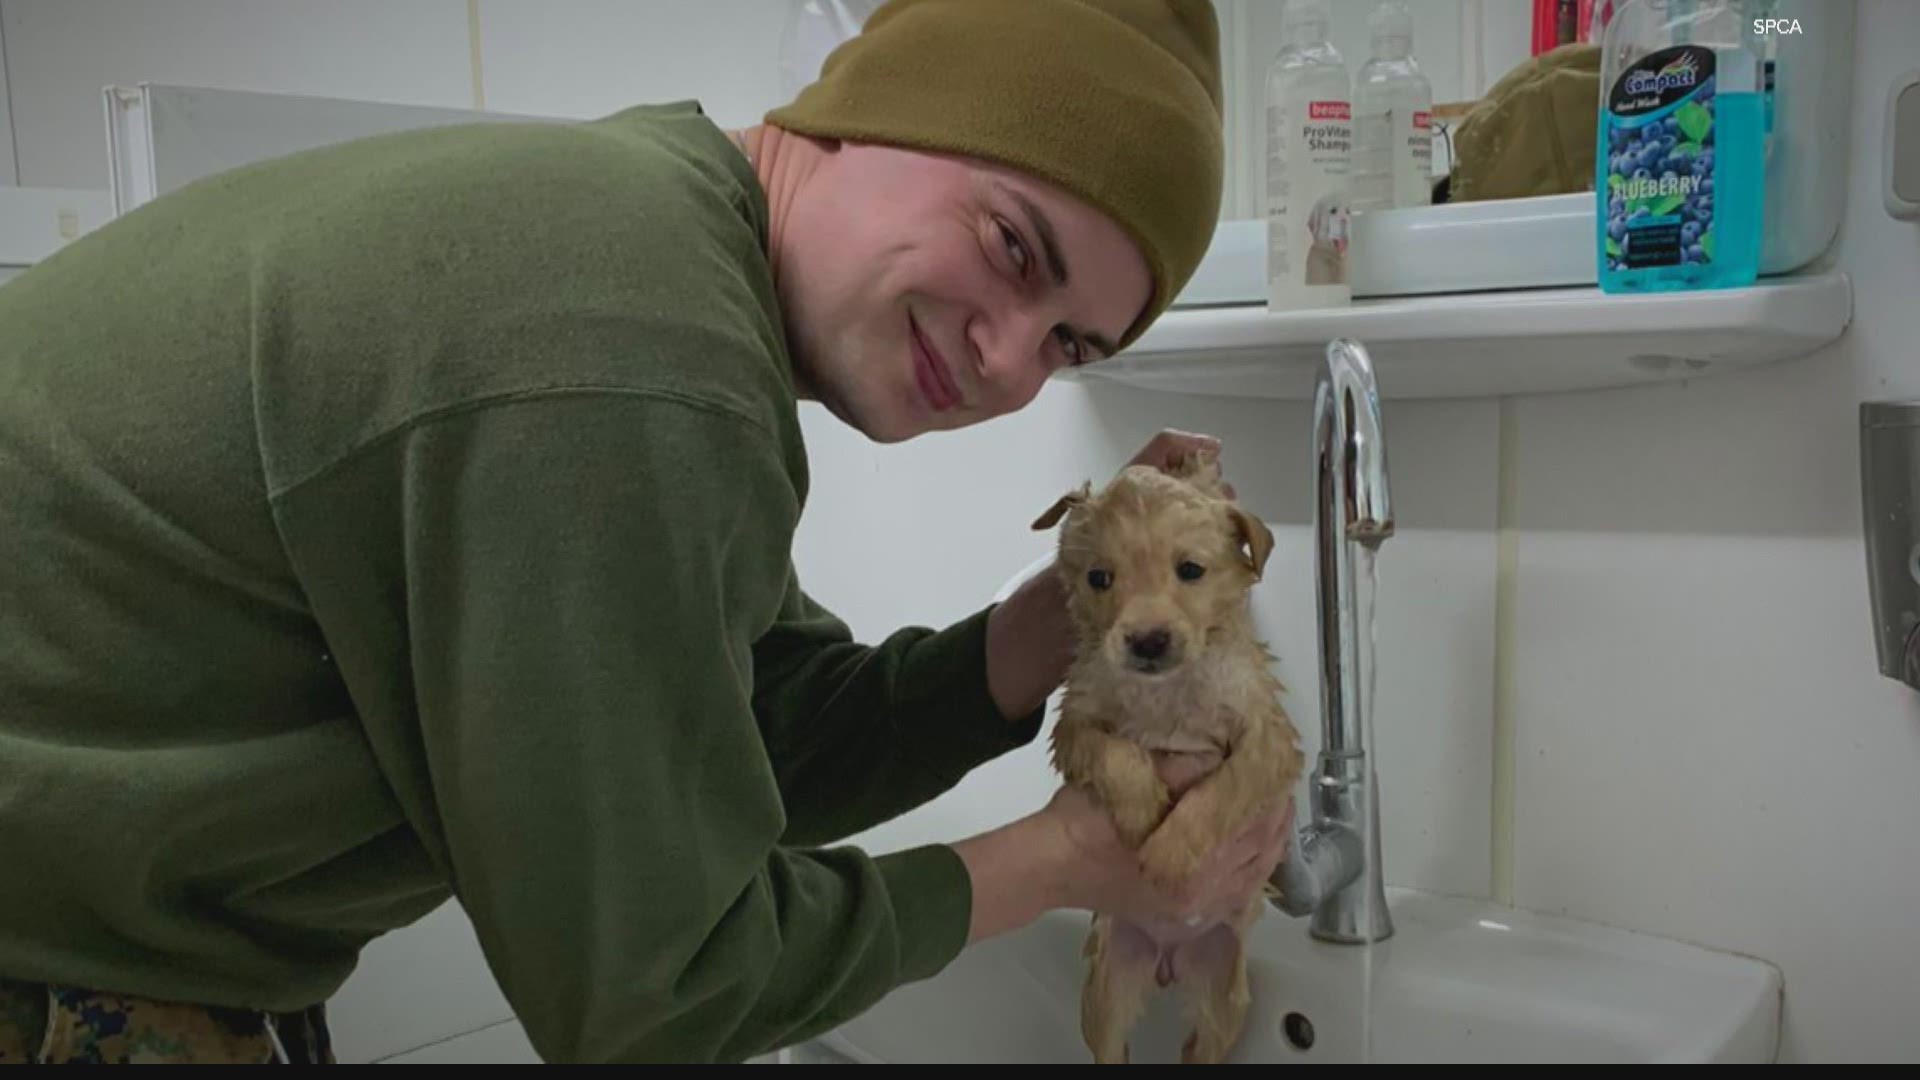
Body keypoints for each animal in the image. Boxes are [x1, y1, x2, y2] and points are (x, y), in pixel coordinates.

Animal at [1036, 447, 1305, 1060]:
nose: (1148, 641)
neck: (1167, 692)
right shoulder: (1077, 723)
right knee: (1109, 1046)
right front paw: (1142, 815)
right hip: (1107, 984)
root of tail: (1166, 959)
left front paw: (1169, 850)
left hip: (1222, 995)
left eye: (1190, 570)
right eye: (1100, 578)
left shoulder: (1268, 740)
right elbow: (1118, 755)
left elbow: (1223, 789)